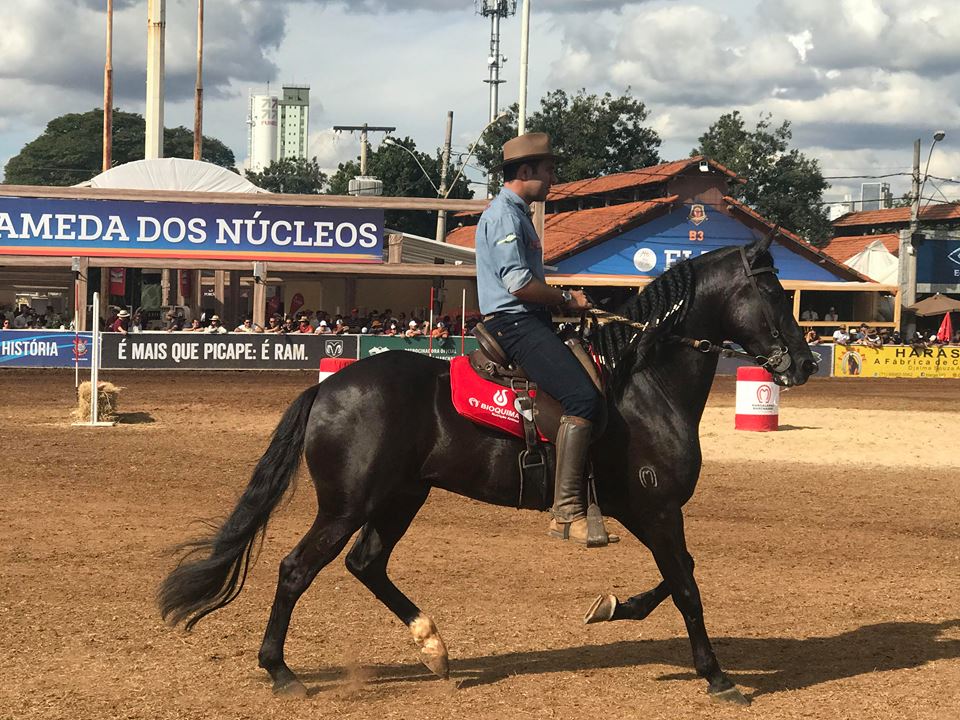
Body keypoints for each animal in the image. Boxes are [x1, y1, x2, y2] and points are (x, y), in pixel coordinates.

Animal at [158, 235, 816, 704]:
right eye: (774, 293)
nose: (806, 362)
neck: (643, 382)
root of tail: (329, 388)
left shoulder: (645, 511)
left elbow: (678, 577)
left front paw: (614, 607)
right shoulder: (656, 509)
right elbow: (685, 585)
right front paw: (717, 677)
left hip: (401, 498)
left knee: (367, 563)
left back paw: (433, 647)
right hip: (348, 505)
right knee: (297, 570)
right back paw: (281, 671)